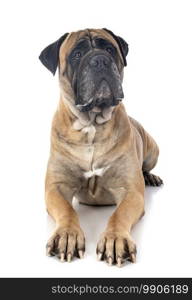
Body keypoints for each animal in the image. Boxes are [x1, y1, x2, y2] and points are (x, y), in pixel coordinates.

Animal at [39, 28, 163, 268]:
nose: (99, 60)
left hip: (153, 149)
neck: (91, 126)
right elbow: (67, 210)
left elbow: (119, 214)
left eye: (109, 49)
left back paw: (150, 177)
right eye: (77, 54)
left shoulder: (131, 190)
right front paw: (66, 235)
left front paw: (115, 239)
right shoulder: (56, 187)